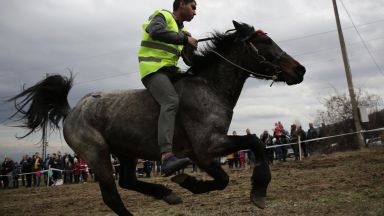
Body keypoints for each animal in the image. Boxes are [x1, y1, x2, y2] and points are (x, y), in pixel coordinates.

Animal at [7, 20, 304, 216]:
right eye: (265, 42)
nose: (299, 69)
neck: (209, 88)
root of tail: (72, 111)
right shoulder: (205, 148)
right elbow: (243, 156)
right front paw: (255, 191)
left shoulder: (207, 150)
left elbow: (249, 152)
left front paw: (190, 184)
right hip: (97, 155)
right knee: (112, 196)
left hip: (125, 153)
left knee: (127, 181)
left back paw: (167, 194)